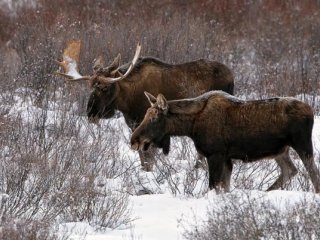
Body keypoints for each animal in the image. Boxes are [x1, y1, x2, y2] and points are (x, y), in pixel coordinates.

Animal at [56, 39, 234, 171]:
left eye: (105, 87)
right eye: (90, 87)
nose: (91, 113)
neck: (127, 101)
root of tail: (232, 76)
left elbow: (149, 159)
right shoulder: (135, 127)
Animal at [130, 90, 320, 193]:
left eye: (154, 118)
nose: (134, 140)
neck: (191, 127)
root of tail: (311, 110)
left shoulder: (215, 154)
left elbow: (213, 186)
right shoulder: (227, 159)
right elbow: (224, 187)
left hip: (302, 144)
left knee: (313, 174)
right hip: (280, 151)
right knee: (290, 170)